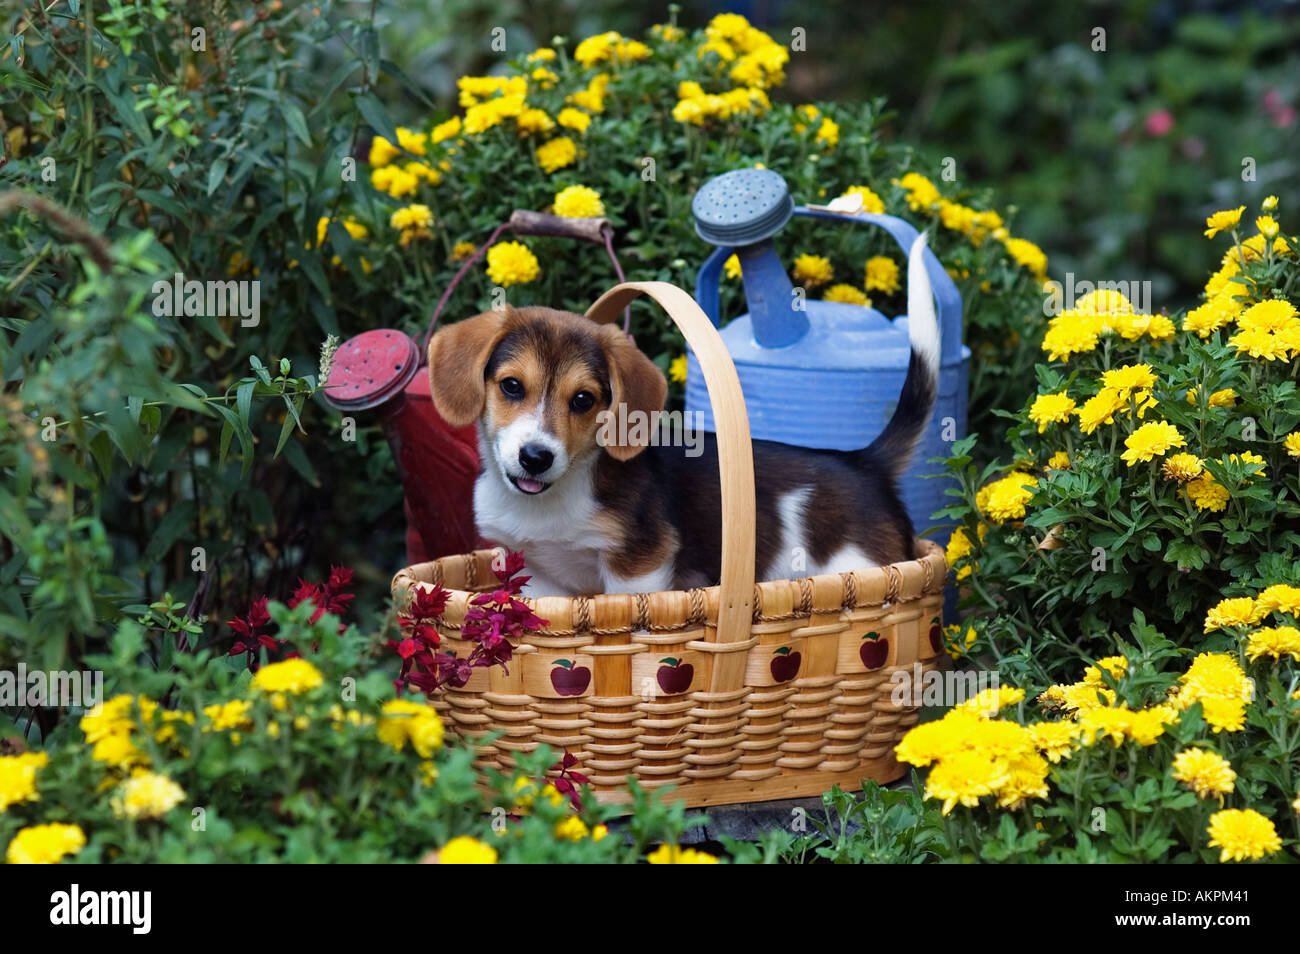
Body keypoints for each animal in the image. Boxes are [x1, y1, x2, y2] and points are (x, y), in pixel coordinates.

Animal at [431, 233, 941, 595]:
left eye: (583, 400)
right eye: (512, 386)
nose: (536, 458)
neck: (554, 498)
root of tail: (863, 463)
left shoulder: (638, 566)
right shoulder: (540, 575)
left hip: (856, 564)